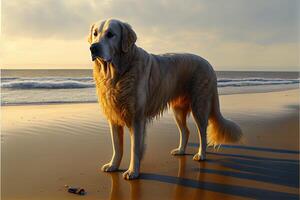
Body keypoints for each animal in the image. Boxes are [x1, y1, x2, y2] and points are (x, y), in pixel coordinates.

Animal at [87, 18, 241, 180]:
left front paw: (133, 171)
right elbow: (117, 147)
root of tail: (209, 65)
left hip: (199, 105)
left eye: (110, 34)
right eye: (95, 33)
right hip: (178, 110)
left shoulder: (137, 118)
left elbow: (135, 148)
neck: (118, 73)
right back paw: (180, 150)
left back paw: (201, 155)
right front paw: (113, 165)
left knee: (202, 134)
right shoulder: (114, 117)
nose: (93, 48)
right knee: (186, 131)